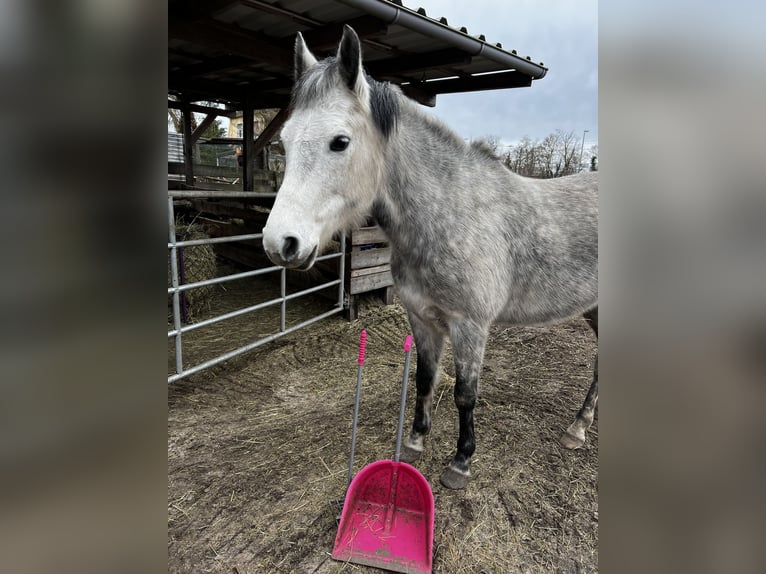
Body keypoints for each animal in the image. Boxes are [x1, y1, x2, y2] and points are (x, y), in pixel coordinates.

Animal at [264, 27, 600, 490]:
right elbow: (425, 378)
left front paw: (460, 462)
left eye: (340, 142)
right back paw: (579, 427)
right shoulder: (421, 318)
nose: (279, 243)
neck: (450, 213)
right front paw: (415, 442)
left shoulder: (469, 326)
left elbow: (464, 393)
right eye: (284, 141)